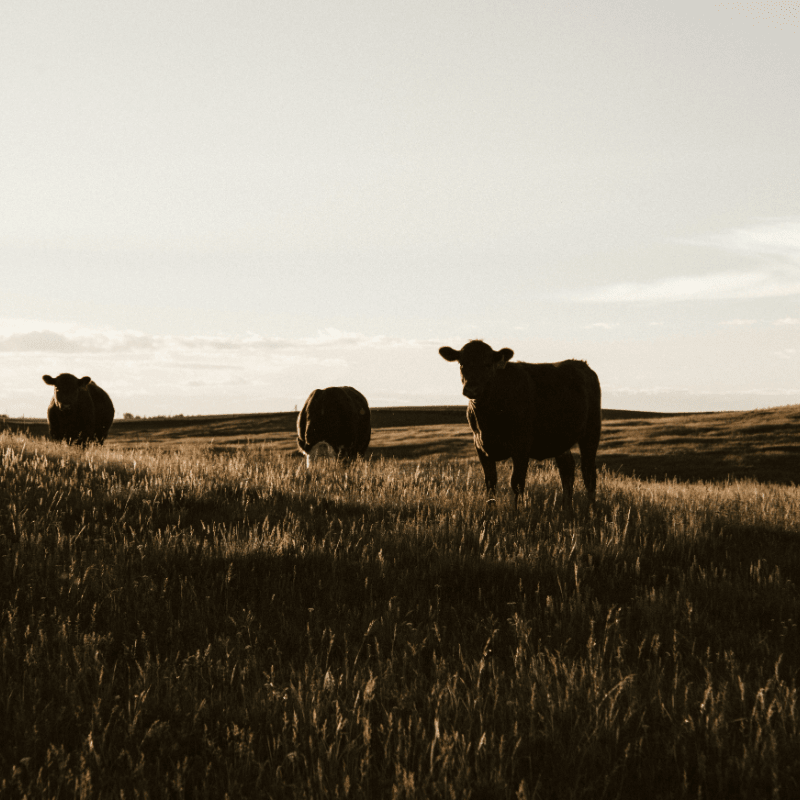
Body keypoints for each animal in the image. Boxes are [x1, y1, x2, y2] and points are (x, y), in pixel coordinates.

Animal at [439, 340, 601, 507]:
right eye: (462, 364)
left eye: (487, 364)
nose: (472, 389)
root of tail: (581, 363)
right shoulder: (480, 446)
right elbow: (490, 484)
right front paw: (490, 512)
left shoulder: (521, 446)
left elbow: (516, 483)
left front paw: (517, 512)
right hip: (560, 439)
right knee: (567, 469)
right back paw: (566, 507)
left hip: (591, 431)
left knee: (588, 471)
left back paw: (591, 508)